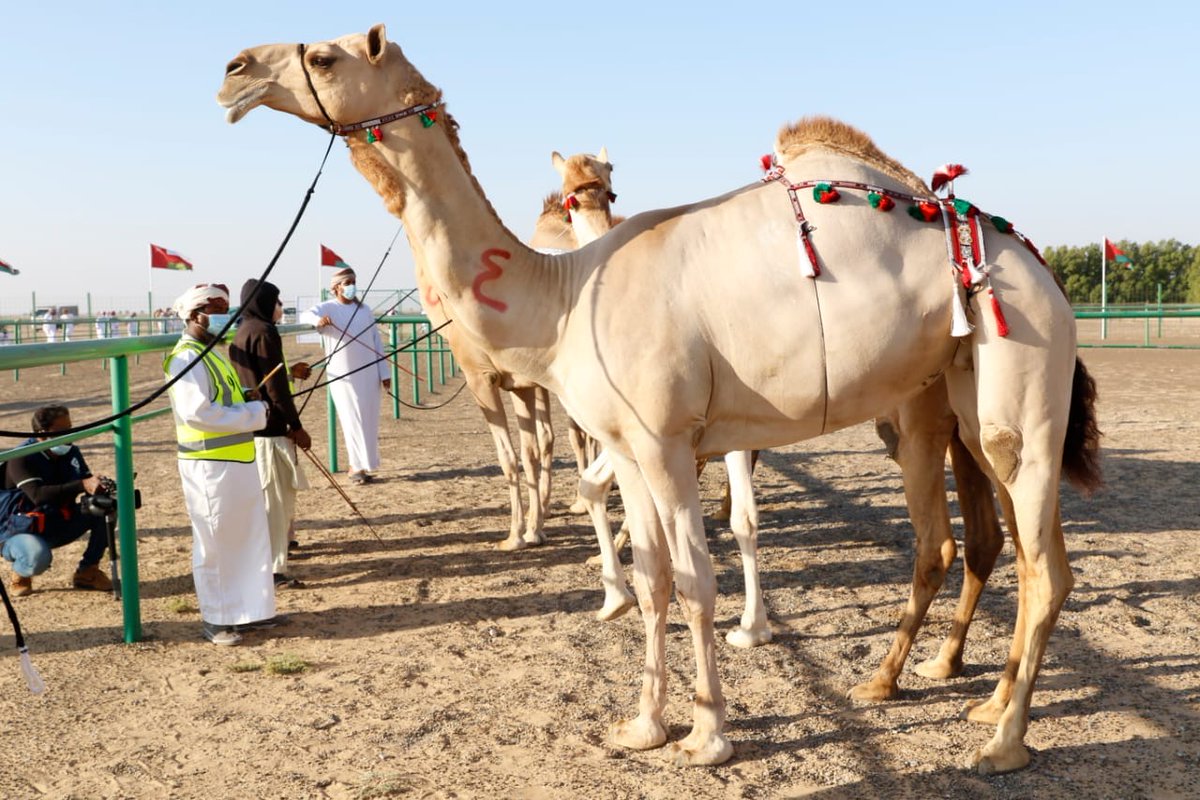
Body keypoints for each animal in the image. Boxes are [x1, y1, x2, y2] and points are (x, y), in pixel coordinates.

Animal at [218, 25, 1101, 773]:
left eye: (324, 56)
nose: (233, 71)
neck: (562, 297)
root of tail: (1043, 268)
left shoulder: (667, 441)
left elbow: (697, 576)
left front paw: (709, 737)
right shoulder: (627, 448)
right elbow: (651, 579)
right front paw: (642, 725)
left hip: (1020, 378)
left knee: (1045, 567)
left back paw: (1002, 742)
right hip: (946, 401)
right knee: (982, 546)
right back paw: (944, 695)